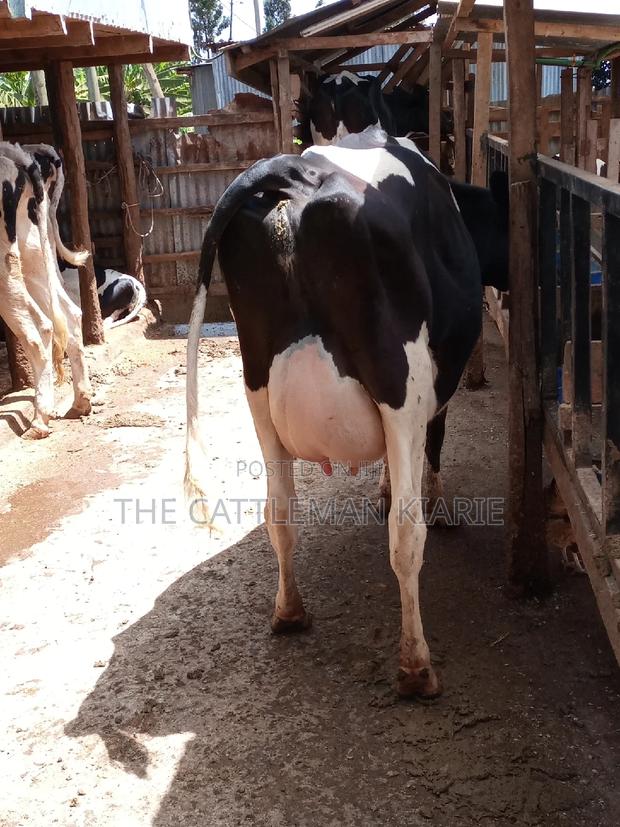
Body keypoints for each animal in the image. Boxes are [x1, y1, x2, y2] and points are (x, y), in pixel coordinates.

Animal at [185, 126, 509, 698]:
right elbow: (435, 444)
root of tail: (293, 172)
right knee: (405, 535)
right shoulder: (432, 386)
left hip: (257, 389)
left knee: (279, 513)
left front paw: (383, 487)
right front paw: (439, 505)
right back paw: (416, 667)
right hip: (398, 380)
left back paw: (289, 612)